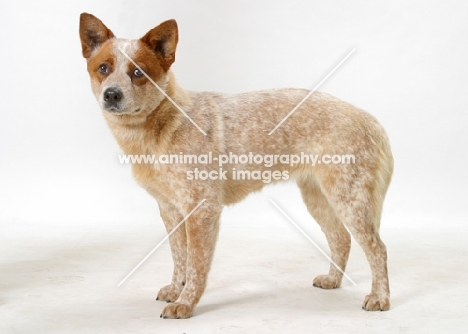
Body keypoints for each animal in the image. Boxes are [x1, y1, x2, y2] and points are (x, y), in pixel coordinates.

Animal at [79, 13, 392, 320]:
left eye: (138, 73)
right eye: (103, 68)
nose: (112, 94)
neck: (163, 127)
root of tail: (370, 119)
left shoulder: (202, 208)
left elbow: (196, 264)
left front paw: (186, 303)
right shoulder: (169, 209)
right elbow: (179, 256)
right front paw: (175, 289)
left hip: (349, 199)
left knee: (378, 248)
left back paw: (380, 298)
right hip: (318, 197)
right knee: (341, 239)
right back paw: (333, 280)